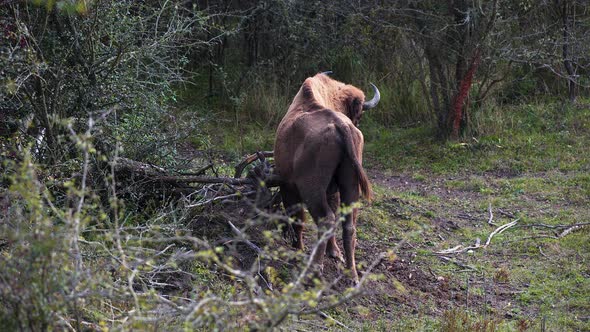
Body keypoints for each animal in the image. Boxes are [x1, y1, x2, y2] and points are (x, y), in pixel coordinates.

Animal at [276, 72, 382, 282]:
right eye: (358, 114)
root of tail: (342, 125)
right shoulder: (333, 190)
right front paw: (334, 252)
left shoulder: (288, 187)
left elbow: (298, 219)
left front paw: (298, 250)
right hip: (350, 187)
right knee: (348, 225)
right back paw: (352, 273)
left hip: (312, 191)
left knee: (325, 219)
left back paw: (314, 269)